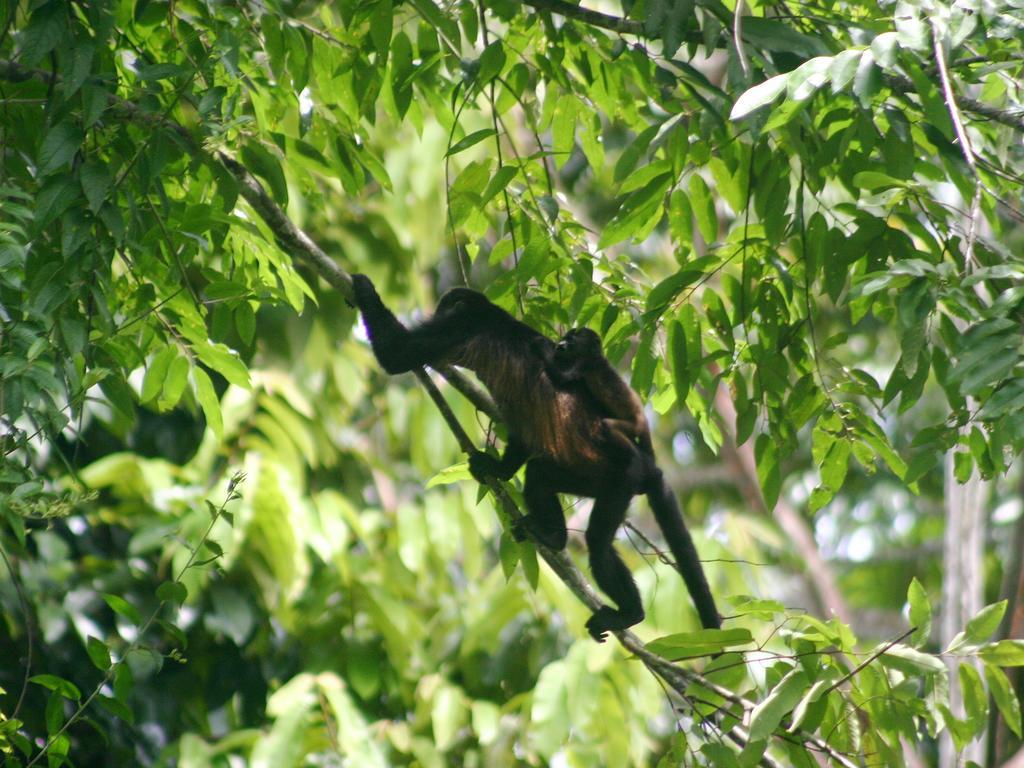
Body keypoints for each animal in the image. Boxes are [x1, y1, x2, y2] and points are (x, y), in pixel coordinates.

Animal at [352, 274, 720, 638]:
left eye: (444, 308)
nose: (436, 309)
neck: (492, 314)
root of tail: (647, 464)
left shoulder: (461, 324)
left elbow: (396, 354)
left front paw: (363, 289)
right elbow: (522, 434)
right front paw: (498, 468)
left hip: (622, 479)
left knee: (598, 545)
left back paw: (629, 613)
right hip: (590, 475)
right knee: (540, 475)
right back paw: (554, 538)